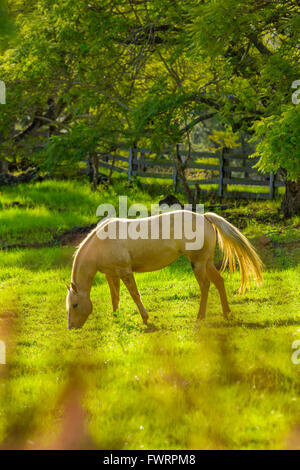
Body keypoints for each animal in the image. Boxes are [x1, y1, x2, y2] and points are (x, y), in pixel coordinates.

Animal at [66, 211, 262, 328]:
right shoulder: (111, 274)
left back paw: (200, 316)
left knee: (205, 286)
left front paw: (145, 318)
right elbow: (115, 297)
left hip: (198, 264)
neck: (102, 241)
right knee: (219, 282)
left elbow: (135, 295)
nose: (71, 327)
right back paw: (226, 314)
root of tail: (204, 217)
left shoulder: (125, 271)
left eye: (75, 305)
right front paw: (115, 319)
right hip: (206, 263)